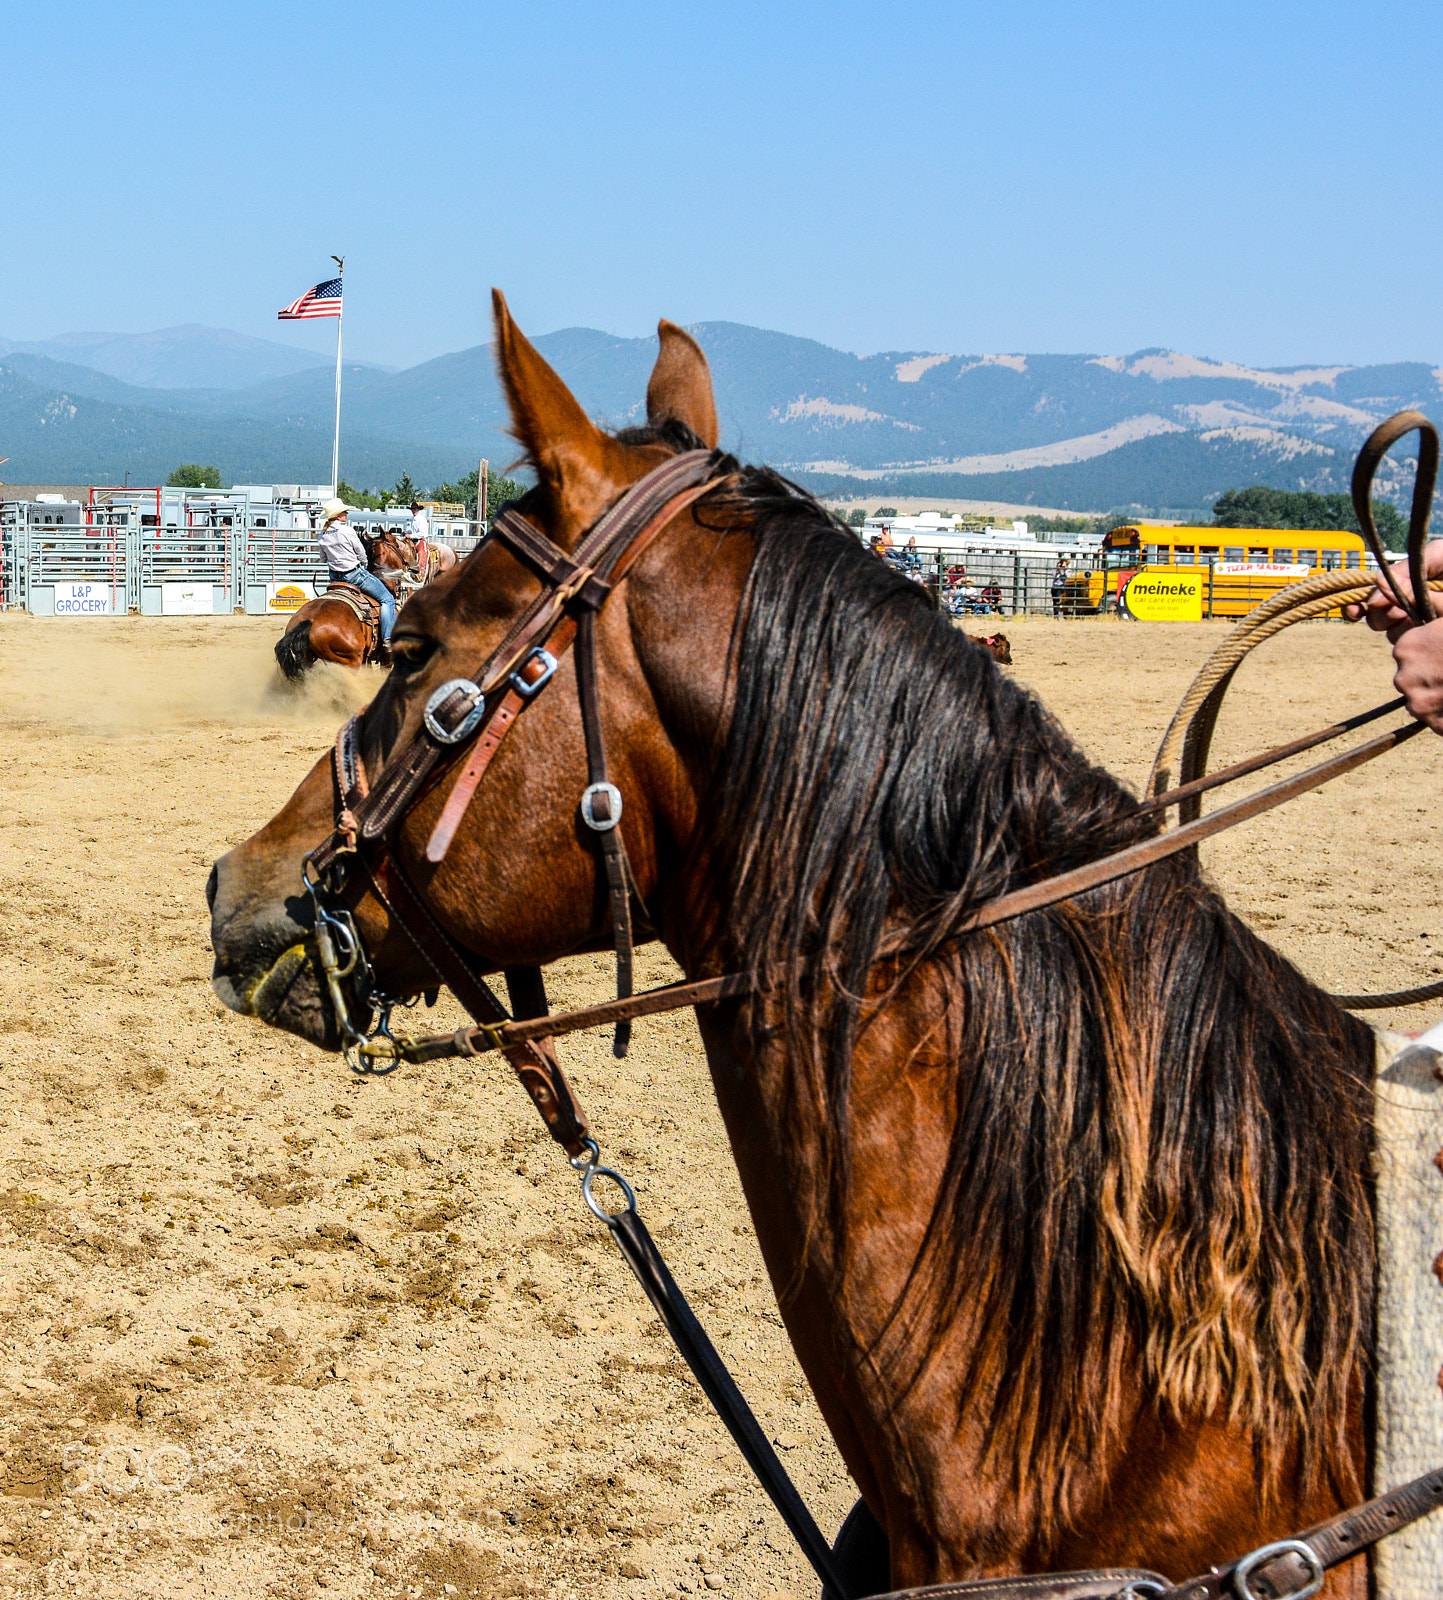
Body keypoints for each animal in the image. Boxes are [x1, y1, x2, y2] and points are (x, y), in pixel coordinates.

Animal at [273, 529, 410, 678]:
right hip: (350, 660)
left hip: (308, 660)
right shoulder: (386, 658)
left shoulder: (367, 658)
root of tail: (309, 621)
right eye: (397, 545)